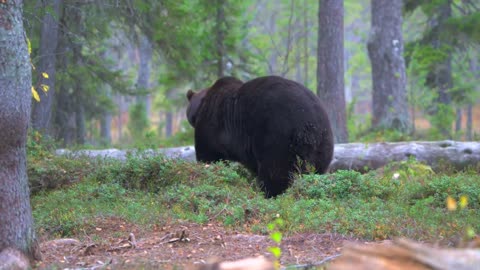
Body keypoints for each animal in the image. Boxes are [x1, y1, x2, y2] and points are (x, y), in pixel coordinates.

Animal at [187, 76, 334, 198]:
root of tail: (310, 125)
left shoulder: (212, 125)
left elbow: (208, 154)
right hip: (323, 144)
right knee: (316, 170)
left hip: (277, 137)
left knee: (275, 171)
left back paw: (269, 194)